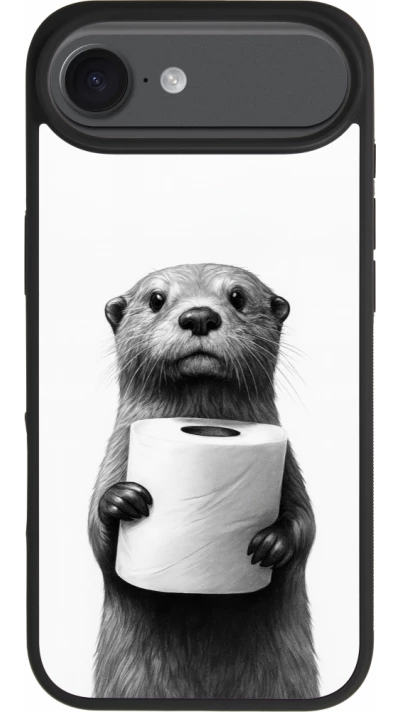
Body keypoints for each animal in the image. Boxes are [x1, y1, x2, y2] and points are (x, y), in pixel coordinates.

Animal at [88, 263, 318, 699]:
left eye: (238, 297)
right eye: (156, 299)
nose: (199, 316)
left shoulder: (290, 468)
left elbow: (306, 524)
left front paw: (273, 542)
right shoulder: (115, 457)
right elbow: (96, 536)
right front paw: (121, 501)